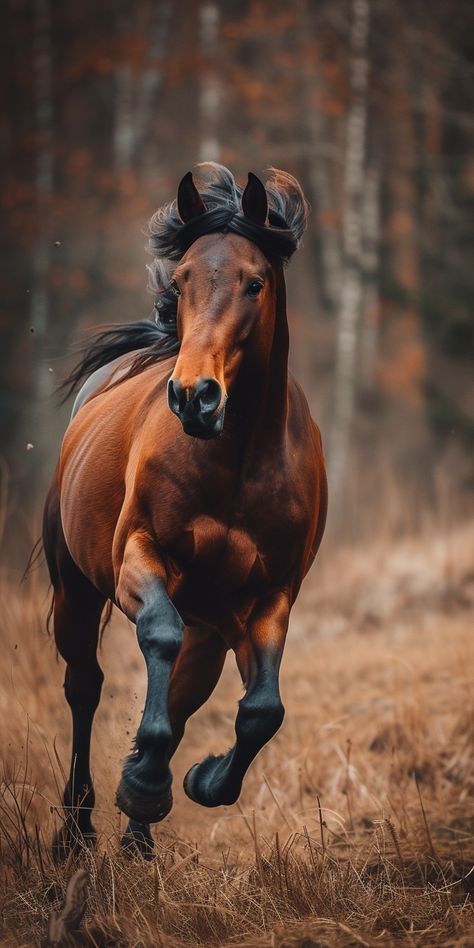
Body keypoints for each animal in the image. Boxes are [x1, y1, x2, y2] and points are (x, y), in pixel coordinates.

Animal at [43, 163, 326, 860]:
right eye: (182, 280)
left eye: (255, 282)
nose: (195, 396)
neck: (238, 460)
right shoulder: (139, 557)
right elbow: (158, 634)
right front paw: (144, 783)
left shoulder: (270, 596)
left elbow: (262, 710)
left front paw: (195, 780)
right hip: (75, 590)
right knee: (85, 685)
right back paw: (78, 828)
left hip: (213, 629)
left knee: (180, 693)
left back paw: (138, 836)